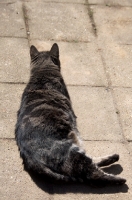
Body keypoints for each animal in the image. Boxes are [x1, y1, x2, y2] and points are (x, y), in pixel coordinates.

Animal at [15, 43, 126, 186]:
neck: (42, 72)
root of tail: (30, 159)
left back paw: (113, 157)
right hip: (70, 153)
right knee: (92, 173)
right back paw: (120, 178)